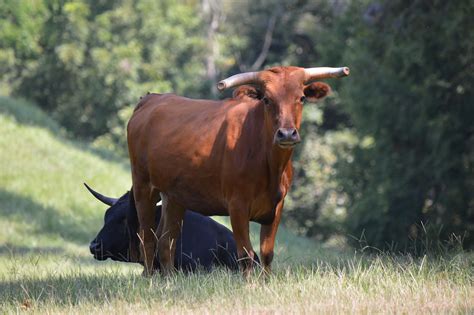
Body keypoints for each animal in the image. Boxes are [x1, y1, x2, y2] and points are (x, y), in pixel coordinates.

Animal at [126, 66, 348, 276]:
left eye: (301, 98)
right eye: (267, 99)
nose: (286, 134)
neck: (271, 166)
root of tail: (152, 98)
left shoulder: (277, 206)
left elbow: (267, 253)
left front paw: (266, 283)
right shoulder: (237, 204)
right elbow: (246, 254)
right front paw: (249, 285)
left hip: (174, 195)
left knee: (166, 241)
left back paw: (170, 279)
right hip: (143, 186)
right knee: (147, 237)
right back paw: (150, 278)